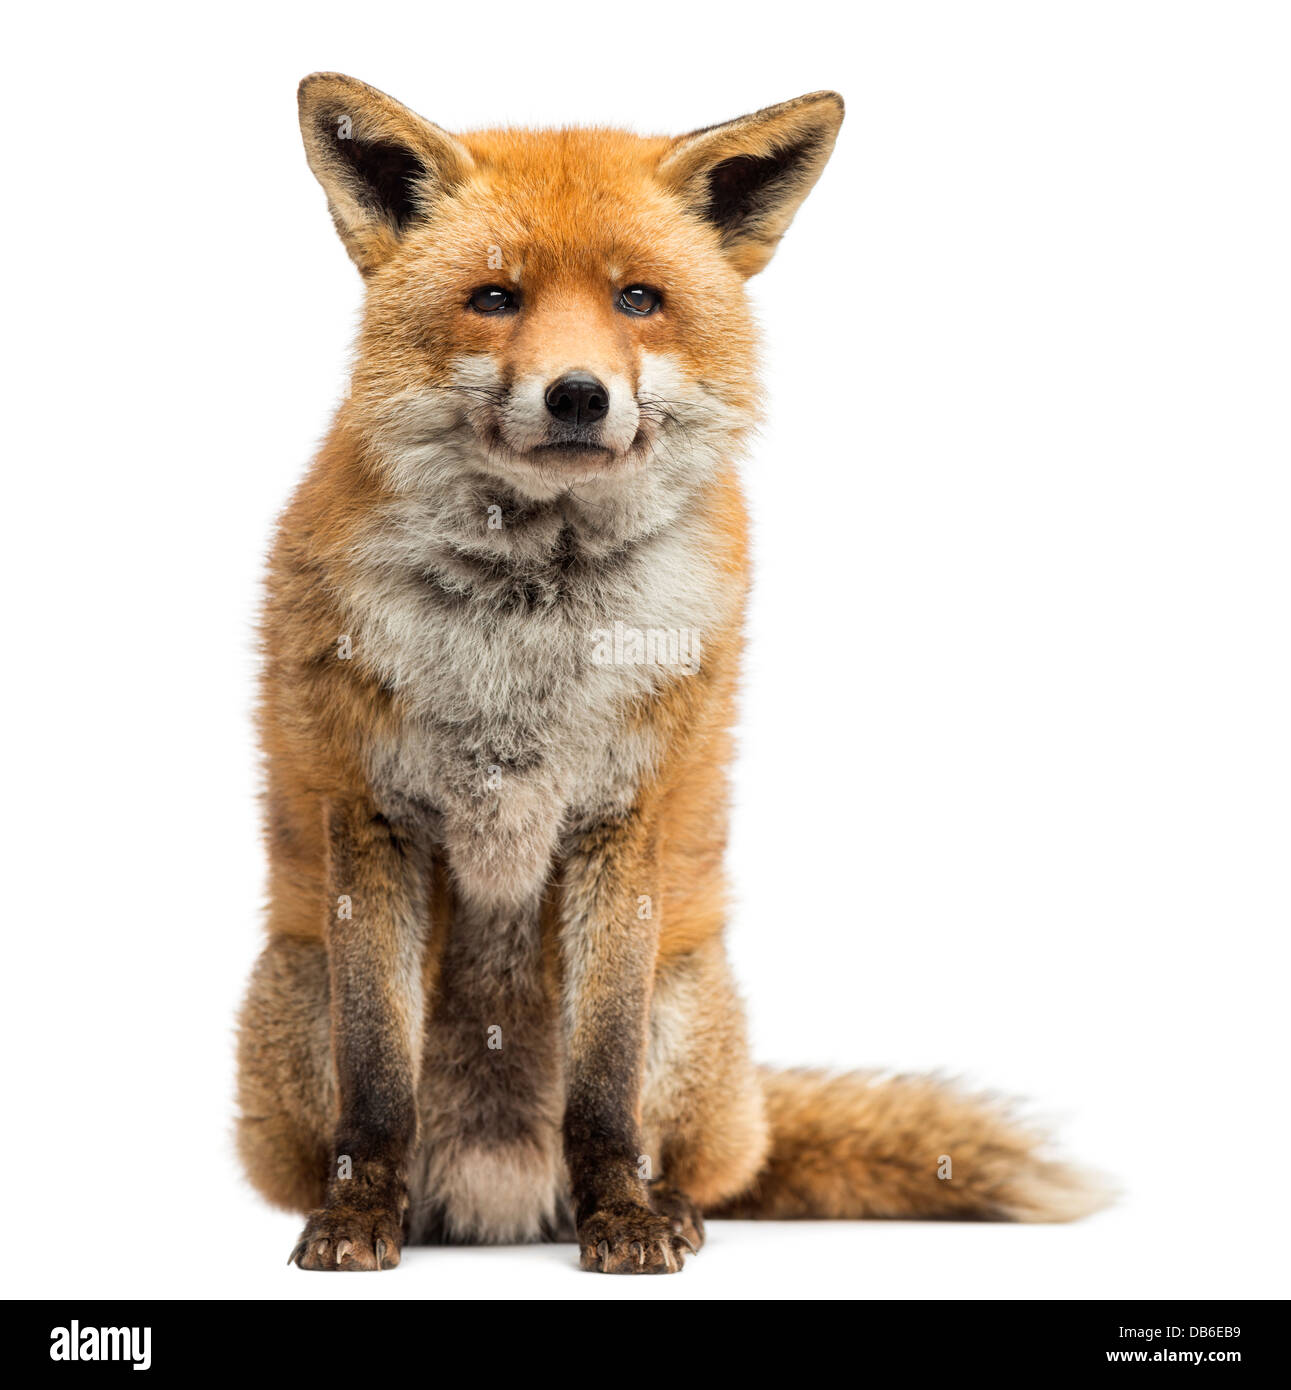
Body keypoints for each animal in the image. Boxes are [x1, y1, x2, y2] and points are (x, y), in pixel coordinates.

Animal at [236, 72, 1109, 1274]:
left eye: (638, 299)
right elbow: (378, 1087)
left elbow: (603, 1089)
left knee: (701, 1156)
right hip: (295, 987)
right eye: (494, 297)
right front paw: (358, 1215)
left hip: (691, 1007)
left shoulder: (622, 817)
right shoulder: (372, 815)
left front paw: (627, 1219)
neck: (531, 619)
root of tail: (500, 1203)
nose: (576, 395)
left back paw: (672, 1205)